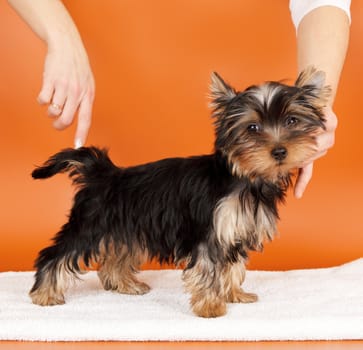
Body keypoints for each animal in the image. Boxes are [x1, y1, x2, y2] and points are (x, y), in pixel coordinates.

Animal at [29, 67, 330, 318]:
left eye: (292, 121)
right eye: (252, 127)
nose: (279, 151)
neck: (245, 178)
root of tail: (104, 173)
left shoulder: (235, 231)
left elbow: (233, 266)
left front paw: (234, 293)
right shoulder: (210, 232)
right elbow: (209, 268)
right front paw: (211, 307)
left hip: (125, 225)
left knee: (118, 254)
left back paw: (126, 285)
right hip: (90, 224)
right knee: (57, 253)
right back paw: (44, 294)